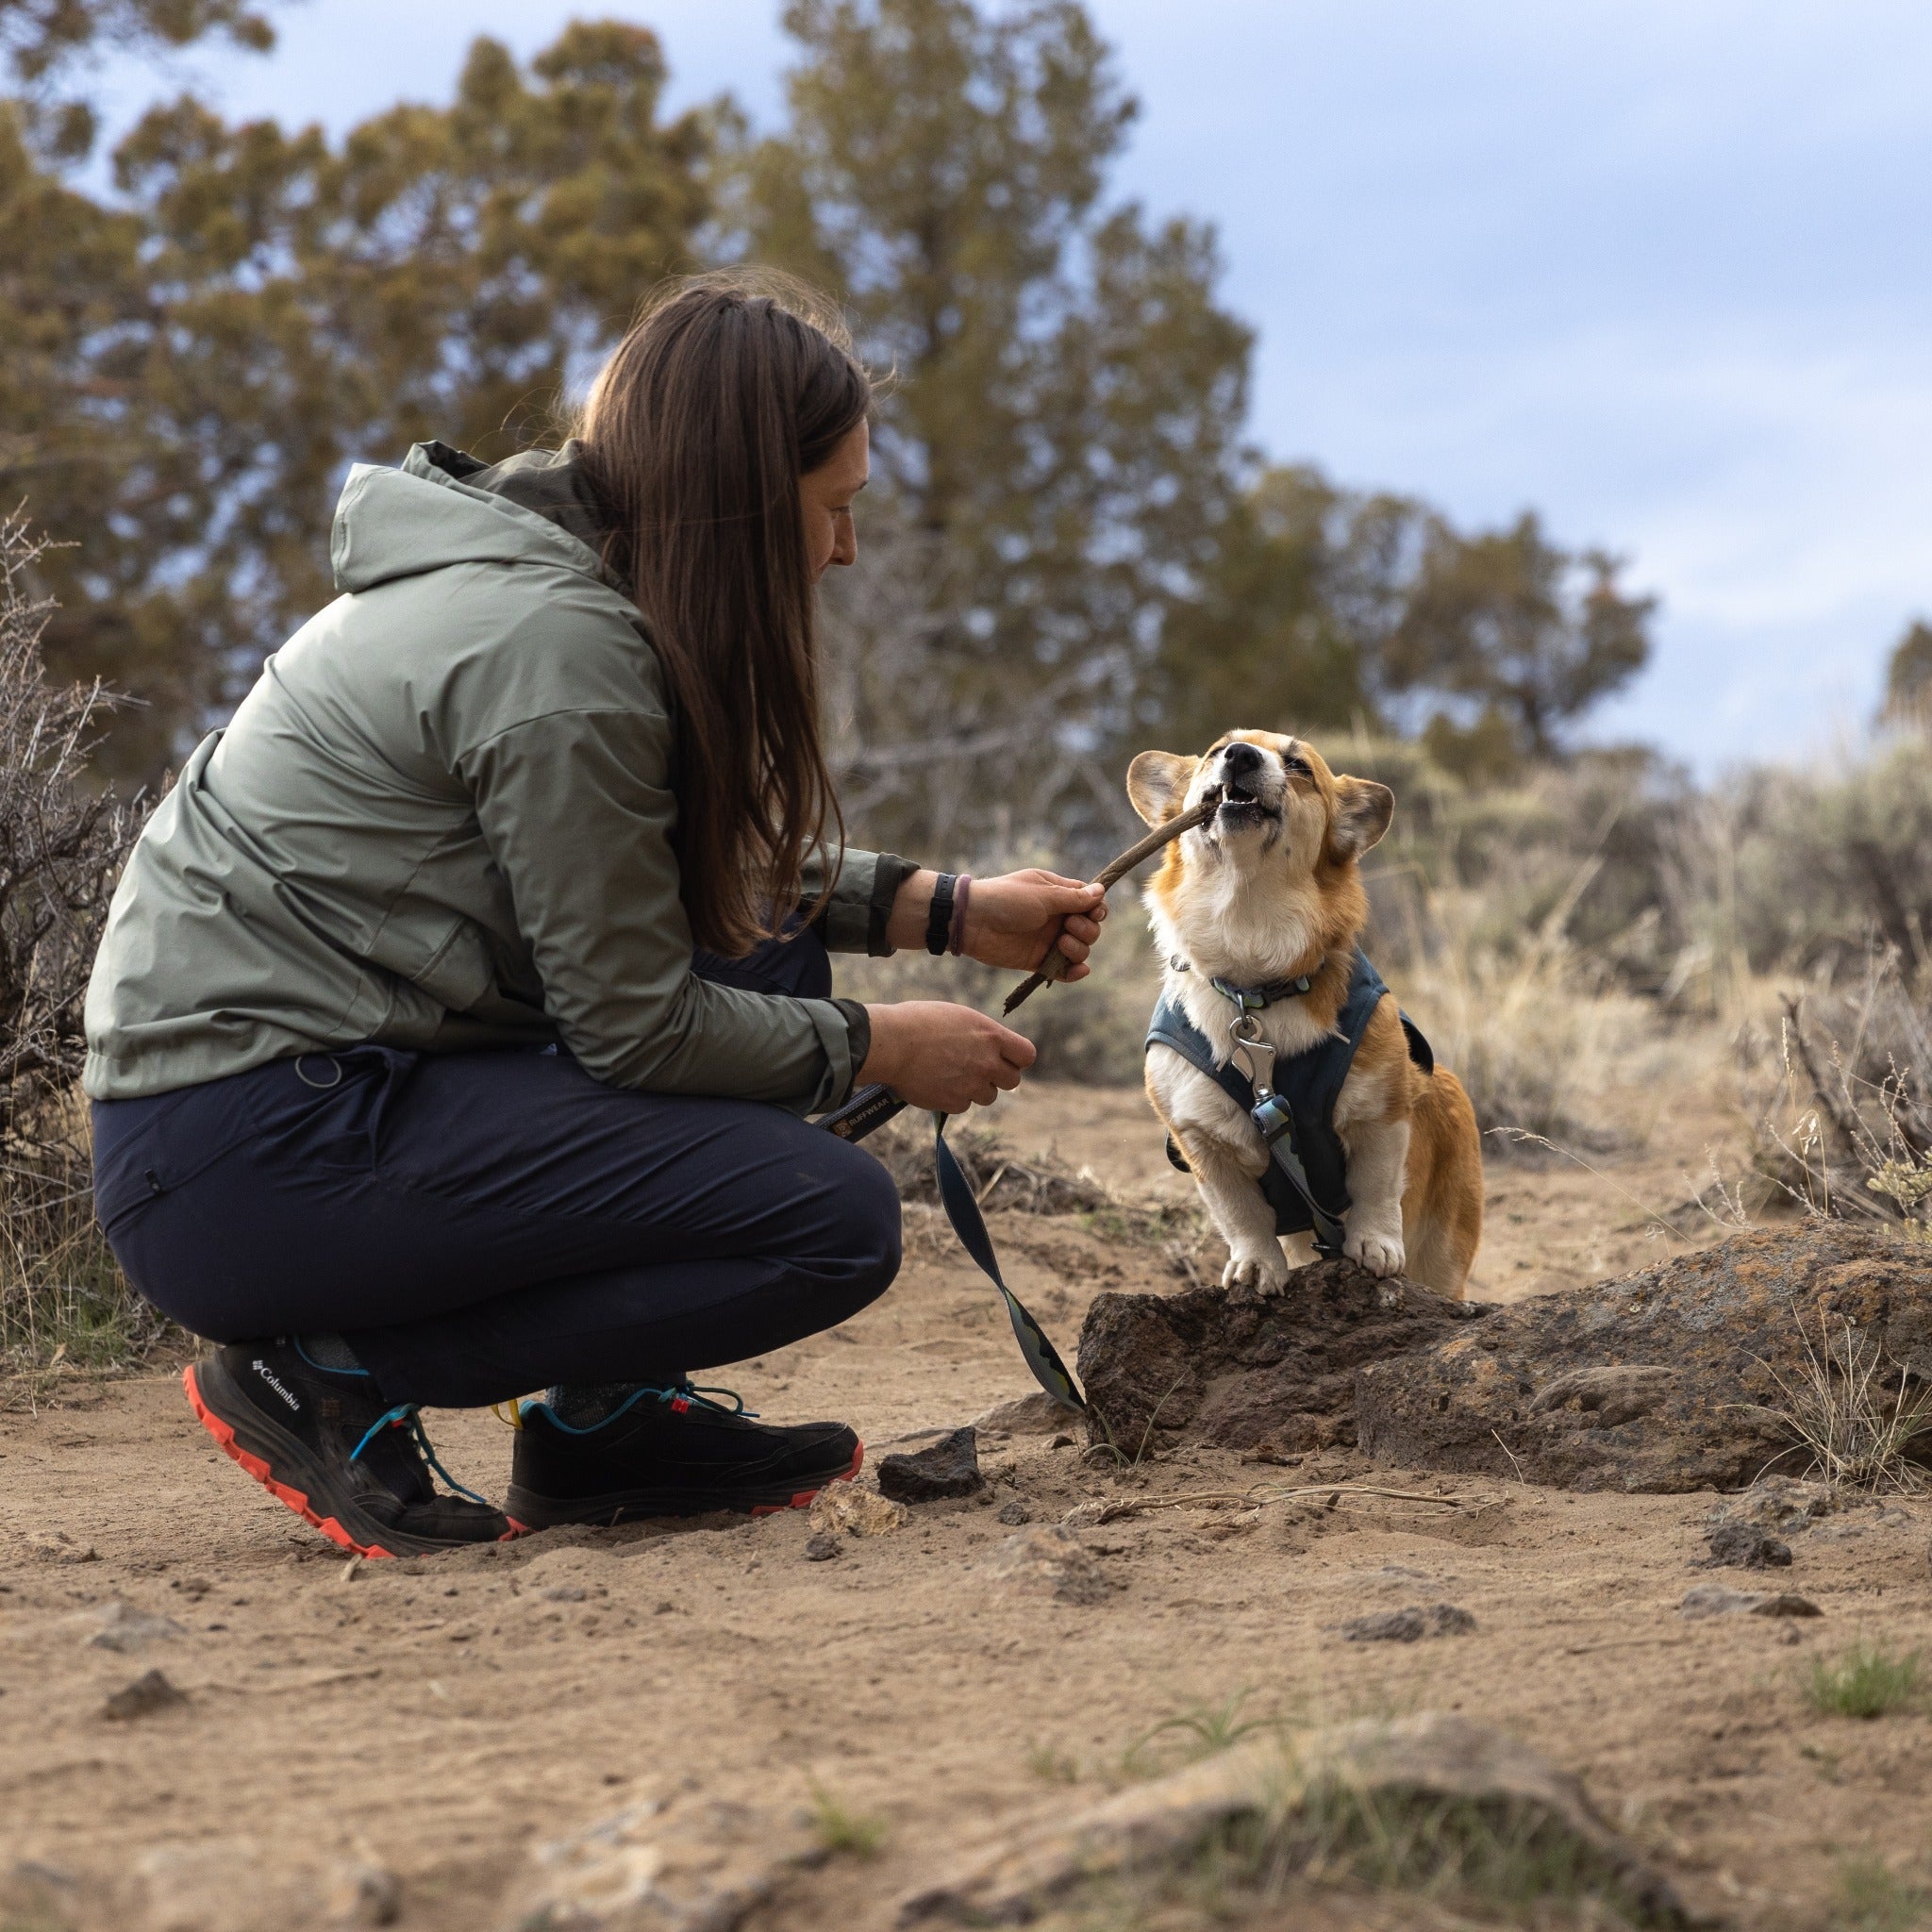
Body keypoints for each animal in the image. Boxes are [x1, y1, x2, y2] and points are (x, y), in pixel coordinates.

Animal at [1128, 730, 1475, 1306]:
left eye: (1297, 765)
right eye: (1216, 750)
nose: (1240, 755)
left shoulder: (1381, 1113)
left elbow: (1375, 1187)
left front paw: (1375, 1246)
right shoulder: (1203, 1144)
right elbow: (1242, 1216)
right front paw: (1255, 1267)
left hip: (1446, 1253)